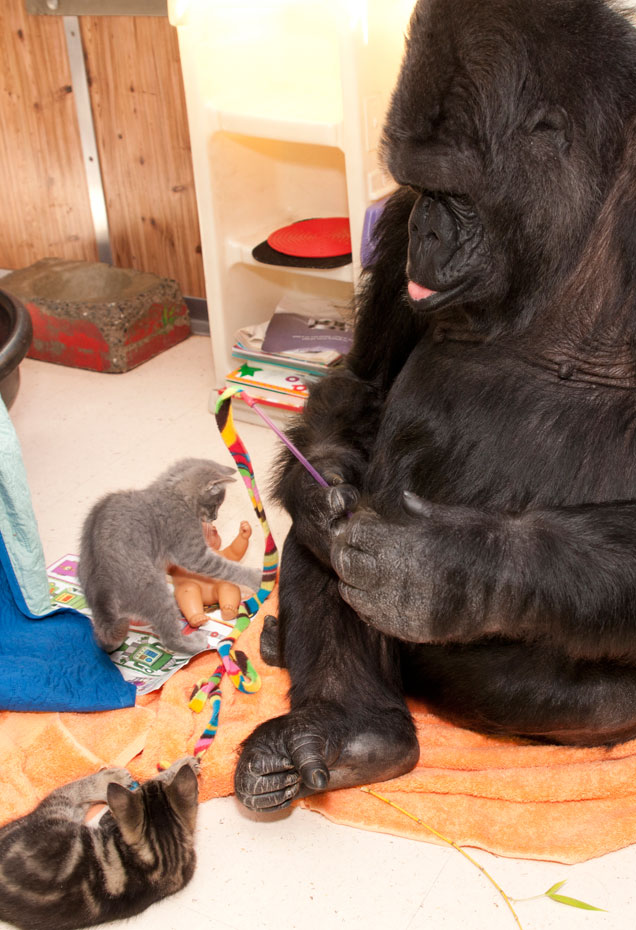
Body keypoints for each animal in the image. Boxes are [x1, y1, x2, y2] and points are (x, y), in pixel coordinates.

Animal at [78, 456, 262, 652]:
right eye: (215, 504)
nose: (215, 518)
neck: (172, 493)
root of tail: (101, 588)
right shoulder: (193, 552)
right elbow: (227, 567)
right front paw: (257, 577)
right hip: (155, 589)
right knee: (169, 637)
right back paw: (194, 643)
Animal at [234, 0, 636, 808]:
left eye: (458, 192)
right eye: (415, 185)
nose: (426, 226)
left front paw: (445, 570)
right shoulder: (390, 235)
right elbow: (364, 386)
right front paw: (321, 481)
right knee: (321, 545)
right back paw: (353, 728)